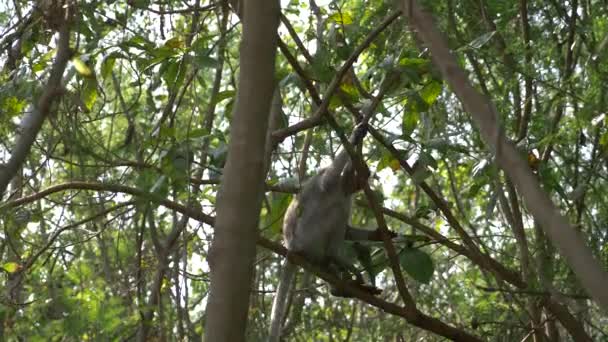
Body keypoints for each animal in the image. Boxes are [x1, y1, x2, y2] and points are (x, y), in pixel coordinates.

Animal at [268, 123, 392, 342]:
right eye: (363, 172)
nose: (363, 180)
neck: (342, 190)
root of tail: (291, 246)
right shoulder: (333, 184)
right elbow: (330, 175)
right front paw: (355, 136)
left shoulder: (347, 196)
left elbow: (348, 231)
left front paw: (378, 235)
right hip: (307, 237)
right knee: (334, 214)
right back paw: (335, 260)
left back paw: (337, 280)